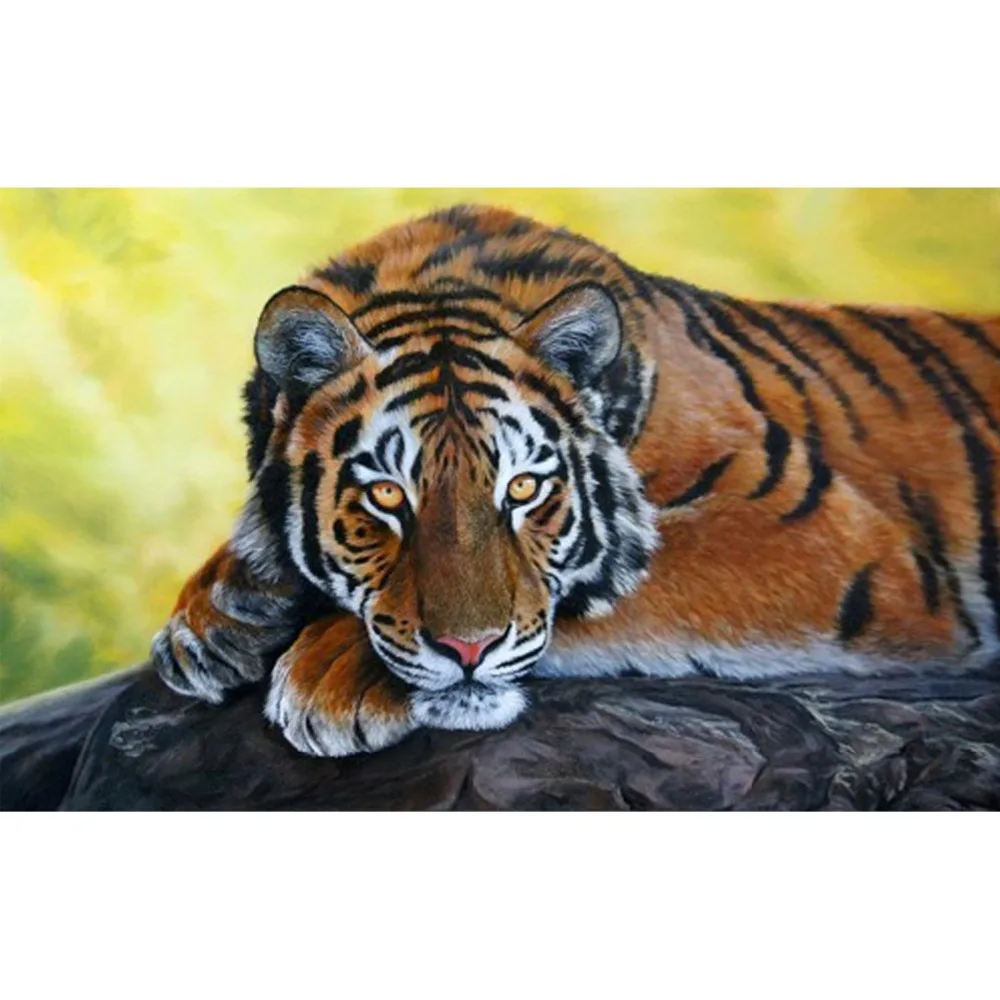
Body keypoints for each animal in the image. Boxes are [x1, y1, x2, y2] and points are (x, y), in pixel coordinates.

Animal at [150, 204, 1000, 757]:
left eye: (524, 490)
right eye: (388, 495)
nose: (468, 651)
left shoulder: (825, 536)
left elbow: (604, 587)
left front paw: (334, 672)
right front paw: (214, 615)